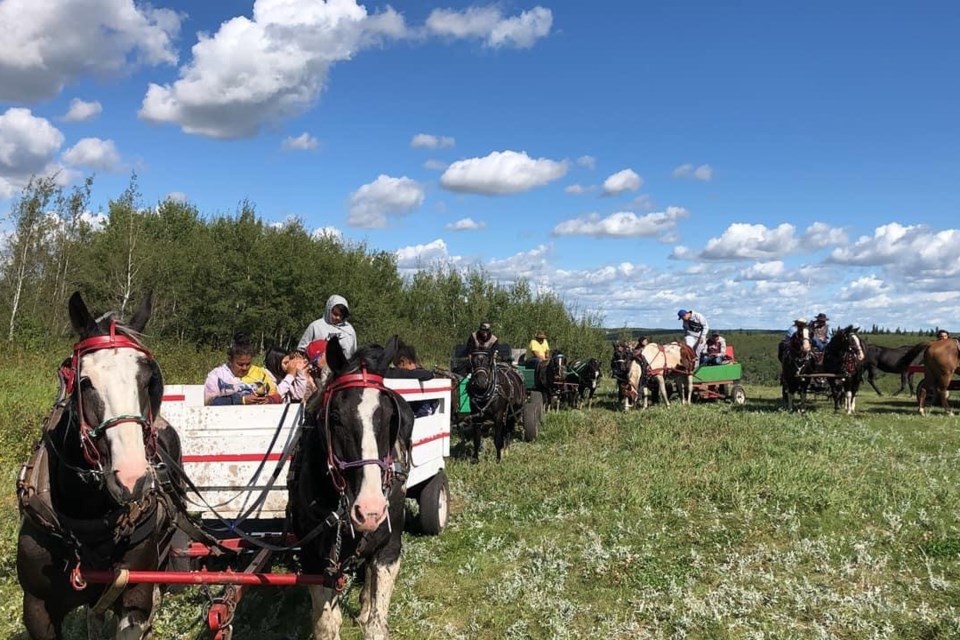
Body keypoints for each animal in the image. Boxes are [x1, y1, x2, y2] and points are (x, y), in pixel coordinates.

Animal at [290, 338, 414, 636]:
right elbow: (326, 623)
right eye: (335, 417)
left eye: (391, 418)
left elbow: (377, 625)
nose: (370, 510)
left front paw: (369, 611)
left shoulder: (390, 547)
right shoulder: (313, 558)